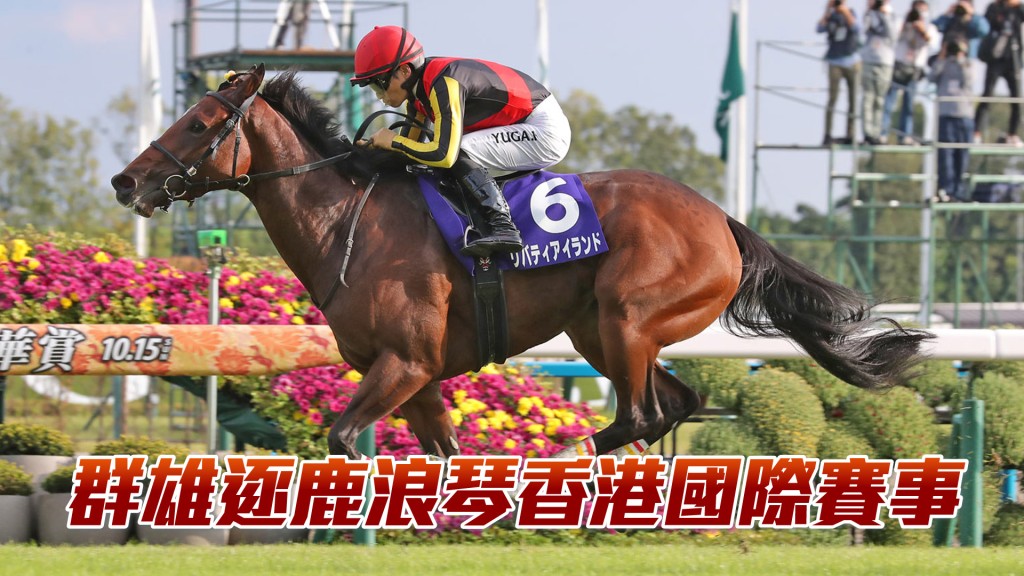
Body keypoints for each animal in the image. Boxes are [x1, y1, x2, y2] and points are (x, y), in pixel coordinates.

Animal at [111, 64, 932, 459]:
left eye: (201, 123)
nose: (126, 181)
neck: (351, 221)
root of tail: (723, 222)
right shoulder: (414, 374)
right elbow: (439, 452)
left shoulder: (405, 362)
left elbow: (344, 439)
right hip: (602, 332)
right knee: (674, 404)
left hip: (629, 319)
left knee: (639, 413)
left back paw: (557, 464)